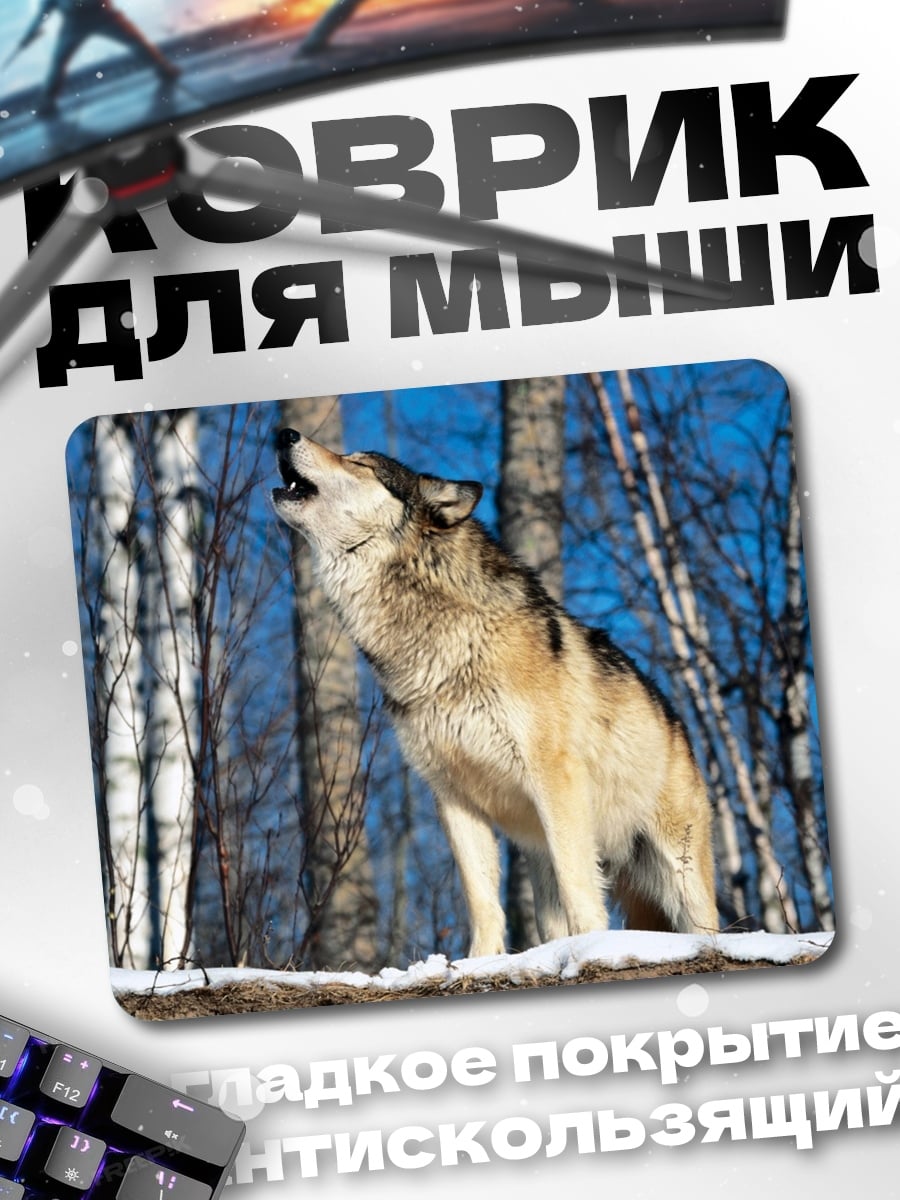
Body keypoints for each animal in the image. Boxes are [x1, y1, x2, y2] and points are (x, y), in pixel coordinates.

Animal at [272, 428, 718, 957]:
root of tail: (678, 724)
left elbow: (579, 886)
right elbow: (482, 899)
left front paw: (593, 949)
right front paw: (478, 963)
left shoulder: (555, 780)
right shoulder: (453, 797)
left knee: (705, 923)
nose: (283, 434)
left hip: (678, 870)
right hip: (543, 860)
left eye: (359, 462)